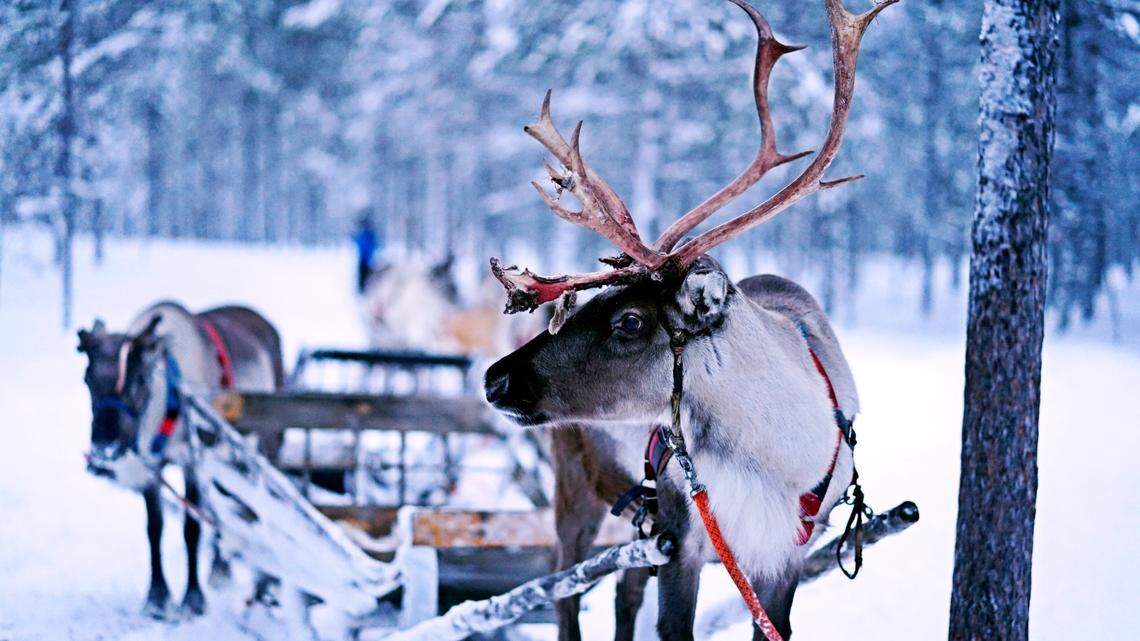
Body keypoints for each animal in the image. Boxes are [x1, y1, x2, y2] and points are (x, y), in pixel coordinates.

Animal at [481, 1, 897, 639]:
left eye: (629, 321)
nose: (494, 378)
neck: (773, 460)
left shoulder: (784, 555)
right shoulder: (683, 538)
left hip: (632, 521)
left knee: (622, 591)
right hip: (575, 491)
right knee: (563, 591)